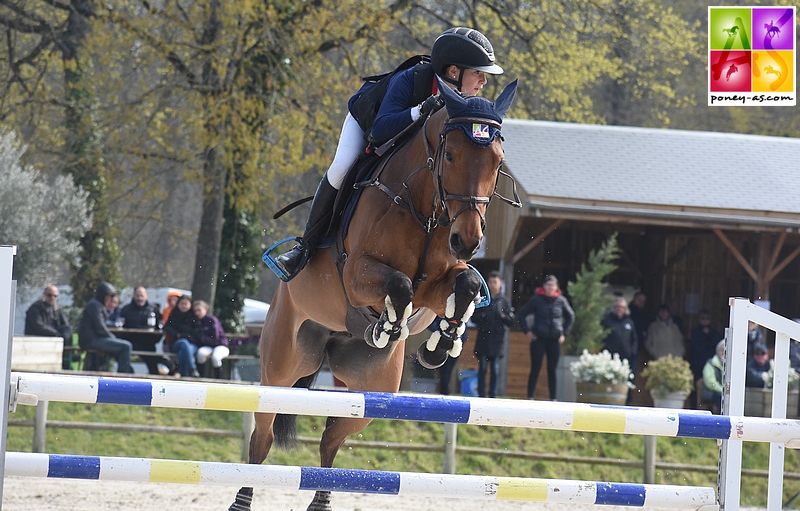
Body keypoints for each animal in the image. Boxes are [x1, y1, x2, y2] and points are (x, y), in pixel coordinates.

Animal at [228, 77, 520, 511]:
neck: (424, 207)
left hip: (371, 389)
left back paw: (321, 500)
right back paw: (242, 499)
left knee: (332, 437)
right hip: (282, 368)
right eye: (450, 155)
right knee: (262, 437)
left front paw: (438, 344)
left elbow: (464, 284)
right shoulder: (357, 274)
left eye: (498, 163)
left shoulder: (435, 286)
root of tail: (330, 341)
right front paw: (389, 327)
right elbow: (399, 285)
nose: (467, 241)